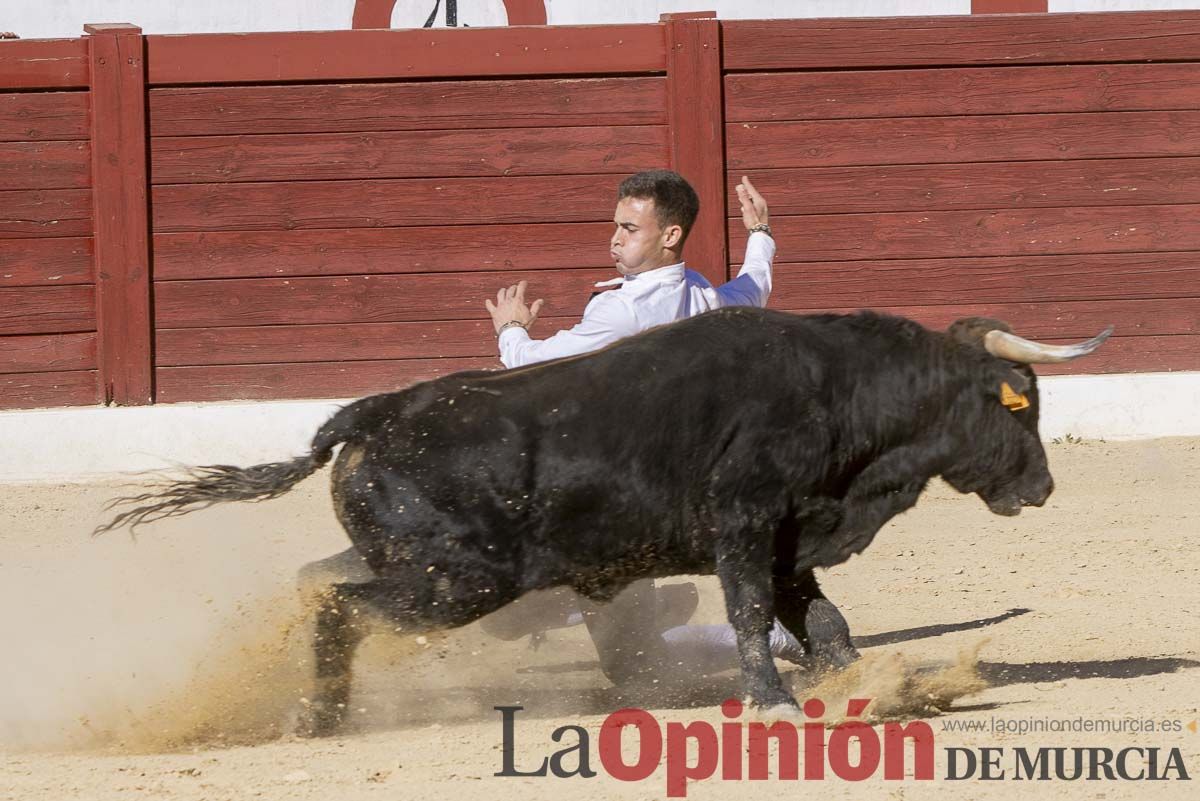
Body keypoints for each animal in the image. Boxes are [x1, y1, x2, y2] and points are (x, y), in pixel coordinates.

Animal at [96, 309, 1104, 733]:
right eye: (1019, 404)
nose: (1045, 487)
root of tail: (371, 414)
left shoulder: (790, 541)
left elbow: (825, 623)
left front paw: (870, 684)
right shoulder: (745, 525)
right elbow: (752, 616)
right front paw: (777, 702)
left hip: (410, 564)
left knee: (315, 584)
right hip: (459, 583)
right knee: (339, 605)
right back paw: (321, 719)